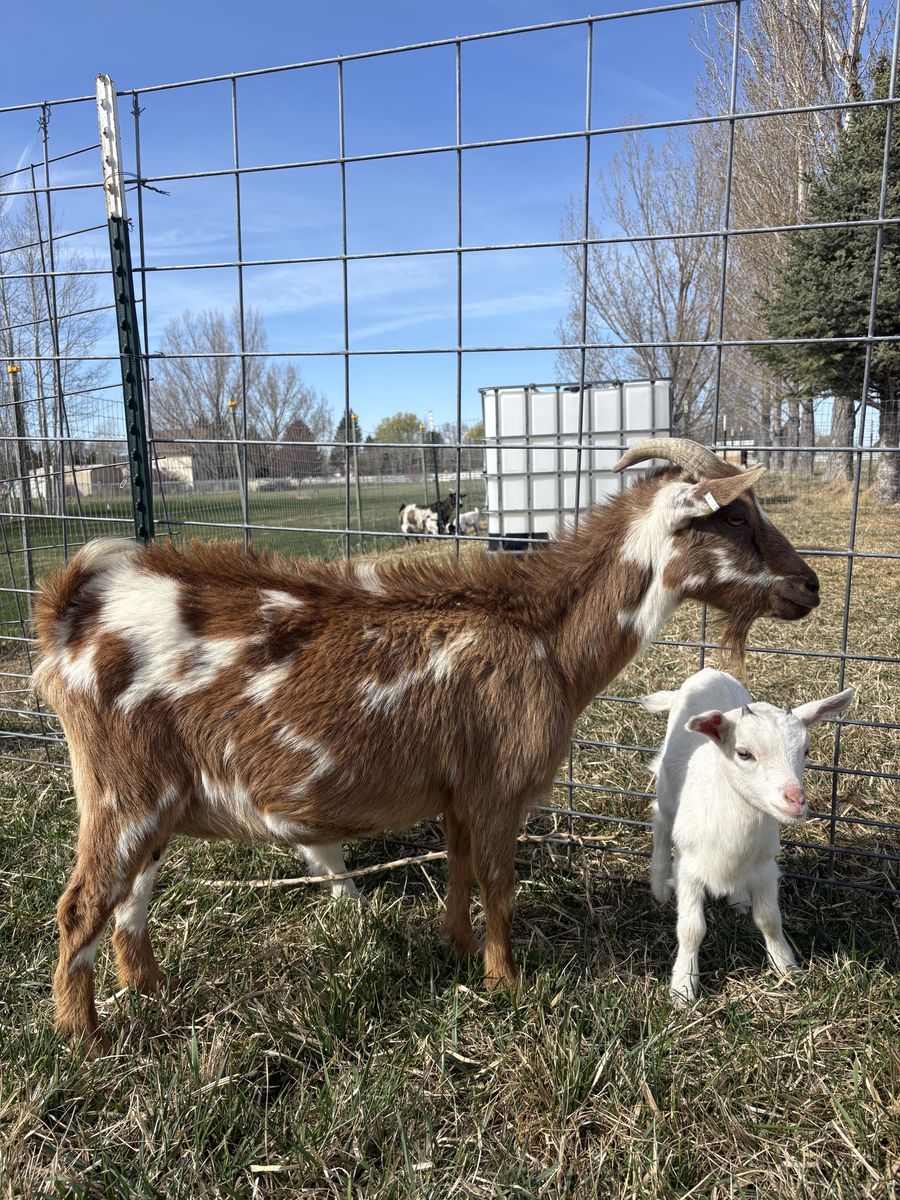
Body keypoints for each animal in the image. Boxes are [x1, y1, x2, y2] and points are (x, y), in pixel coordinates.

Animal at [34, 438, 821, 1050]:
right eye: (739, 515)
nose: (809, 586)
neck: (544, 638)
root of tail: (71, 615)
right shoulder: (501, 784)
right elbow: (499, 881)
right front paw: (506, 982)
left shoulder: (458, 790)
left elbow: (460, 868)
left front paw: (459, 950)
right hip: (124, 791)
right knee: (78, 908)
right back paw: (85, 1040)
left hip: (148, 803)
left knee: (129, 903)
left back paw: (150, 991)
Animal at [641, 668, 853, 1002]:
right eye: (744, 753)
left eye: (806, 751)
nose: (796, 800)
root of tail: (710, 671)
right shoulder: (688, 869)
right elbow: (691, 929)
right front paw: (683, 988)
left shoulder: (765, 865)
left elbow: (769, 919)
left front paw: (786, 967)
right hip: (667, 790)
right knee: (661, 820)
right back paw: (660, 886)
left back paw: (738, 898)